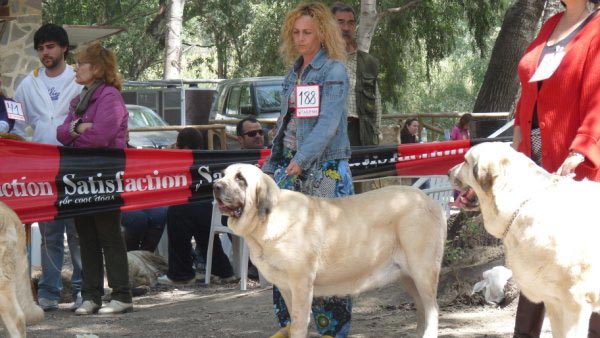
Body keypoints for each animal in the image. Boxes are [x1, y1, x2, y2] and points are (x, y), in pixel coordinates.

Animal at [212, 164, 446, 338]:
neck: (267, 219)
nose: (215, 185)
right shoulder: (286, 287)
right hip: (408, 277)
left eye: (241, 179)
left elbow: (299, 322)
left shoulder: (301, 283)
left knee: (433, 308)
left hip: (422, 271)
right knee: (422, 309)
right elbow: (291, 321)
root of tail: (429, 201)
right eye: (222, 175)